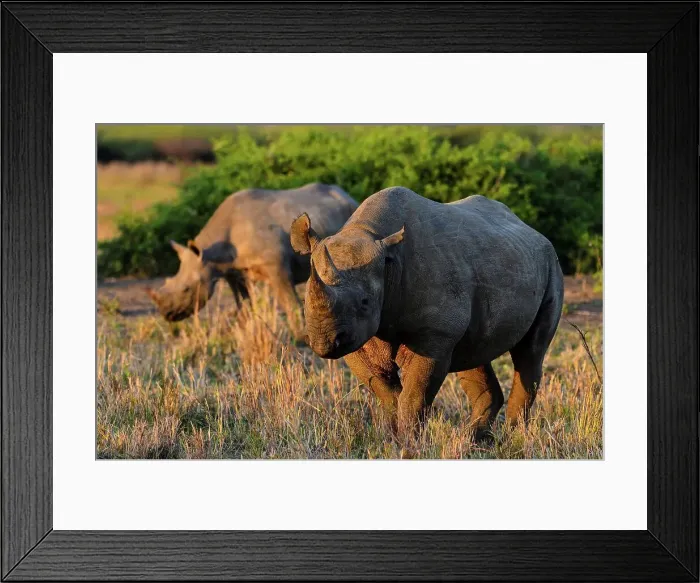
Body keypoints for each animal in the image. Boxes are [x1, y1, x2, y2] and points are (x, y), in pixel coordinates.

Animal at [148, 183, 358, 337]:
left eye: (187, 289)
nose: (167, 314)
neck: (210, 253)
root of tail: (347, 195)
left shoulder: (276, 268)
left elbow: (290, 302)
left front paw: (301, 336)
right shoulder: (233, 272)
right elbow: (244, 304)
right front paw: (242, 331)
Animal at [290, 186, 564, 440]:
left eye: (365, 302)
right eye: (305, 300)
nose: (324, 342)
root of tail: (531, 230)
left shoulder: (435, 334)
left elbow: (414, 396)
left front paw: (410, 443)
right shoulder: (357, 336)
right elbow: (388, 394)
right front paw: (394, 439)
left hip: (551, 264)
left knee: (530, 353)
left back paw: (513, 438)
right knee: (473, 353)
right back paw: (472, 440)